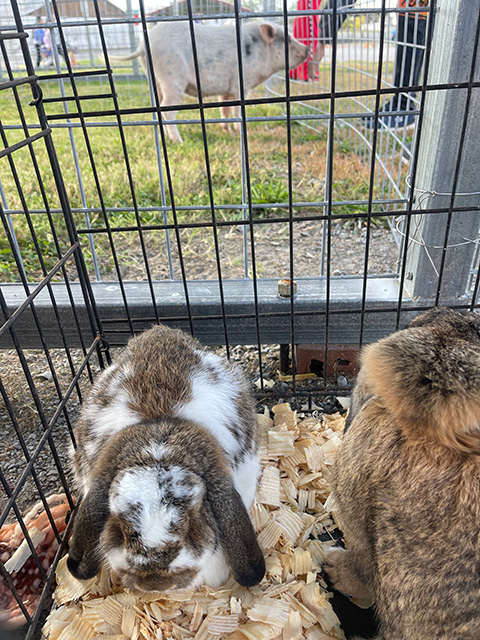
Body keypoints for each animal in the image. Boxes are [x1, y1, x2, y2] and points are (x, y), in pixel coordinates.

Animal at [109, 22, 308, 144]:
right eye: (288, 40)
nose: (308, 48)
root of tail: (143, 46)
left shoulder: (227, 88)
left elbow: (225, 108)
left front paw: (226, 131)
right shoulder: (241, 85)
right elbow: (237, 111)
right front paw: (241, 132)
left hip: (154, 80)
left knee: (158, 107)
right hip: (171, 77)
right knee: (167, 109)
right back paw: (179, 141)